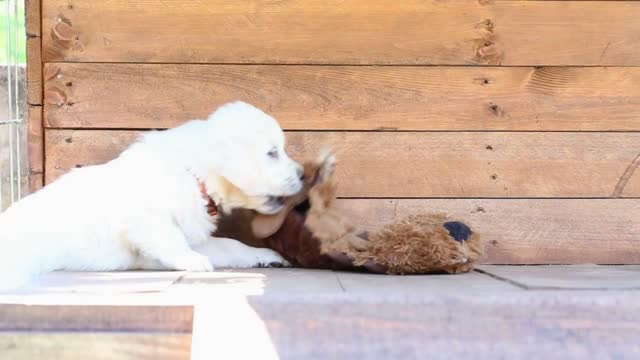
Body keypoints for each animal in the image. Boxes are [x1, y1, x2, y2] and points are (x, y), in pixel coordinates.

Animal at [0, 100, 302, 290]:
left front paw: (266, 255)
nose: (302, 174)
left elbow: (231, 245)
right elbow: (167, 236)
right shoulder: (142, 216)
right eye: (272, 153)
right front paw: (191, 260)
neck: (194, 173)